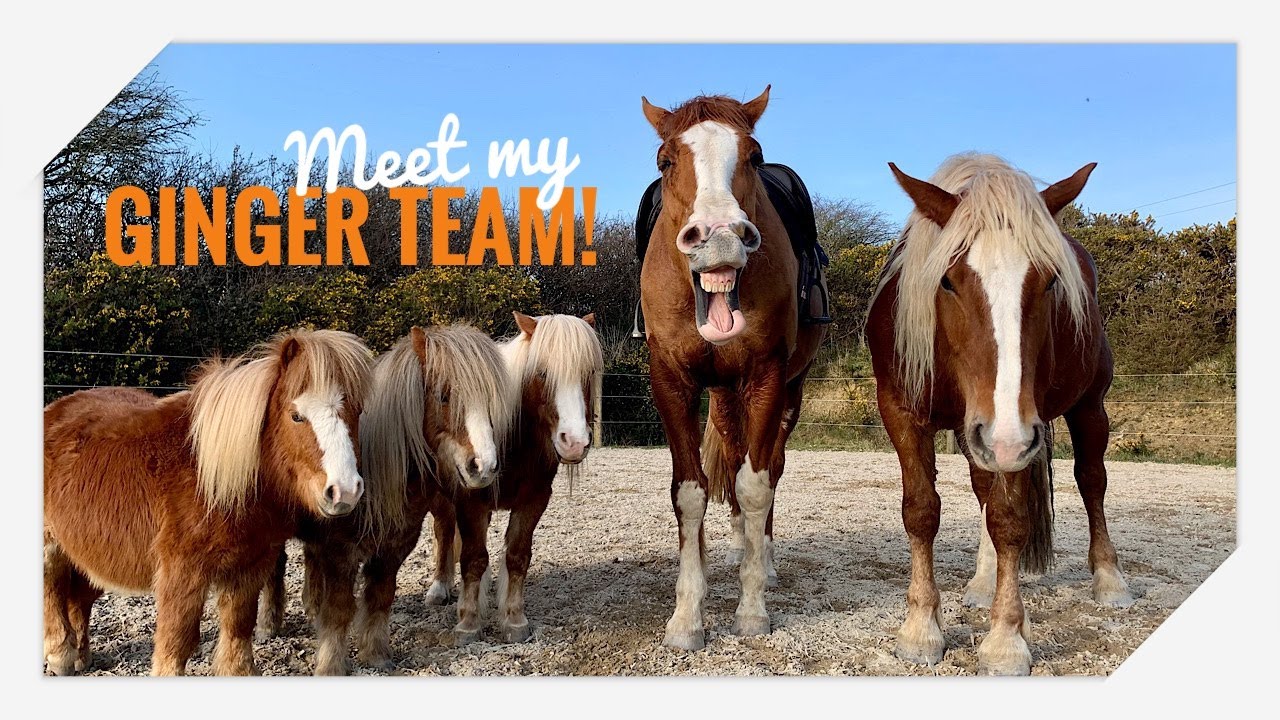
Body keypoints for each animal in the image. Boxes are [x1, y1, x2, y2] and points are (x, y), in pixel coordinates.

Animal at [43, 329, 372, 676]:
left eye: (356, 411)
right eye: (297, 416)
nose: (345, 491)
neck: (214, 479)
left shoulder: (249, 566)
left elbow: (238, 631)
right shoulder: (181, 573)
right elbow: (175, 645)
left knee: (79, 600)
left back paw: (81, 656)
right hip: (51, 546)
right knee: (52, 589)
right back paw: (60, 656)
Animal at [254, 323, 516, 674]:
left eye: (489, 400)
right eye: (443, 396)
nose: (484, 466)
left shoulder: (394, 546)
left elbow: (380, 597)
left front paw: (376, 654)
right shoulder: (340, 552)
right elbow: (339, 610)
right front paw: (331, 665)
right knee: (276, 565)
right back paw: (267, 625)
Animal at [421, 312, 603, 644]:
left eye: (587, 373)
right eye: (542, 373)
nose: (574, 443)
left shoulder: (533, 499)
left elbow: (517, 555)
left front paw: (514, 620)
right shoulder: (471, 501)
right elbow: (473, 559)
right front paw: (469, 624)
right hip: (440, 500)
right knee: (443, 532)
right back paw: (439, 588)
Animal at [638, 87, 826, 650]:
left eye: (754, 156)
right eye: (666, 160)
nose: (720, 236)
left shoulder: (767, 378)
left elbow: (756, 485)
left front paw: (752, 609)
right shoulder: (671, 382)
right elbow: (690, 493)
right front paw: (686, 617)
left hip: (788, 393)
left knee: (768, 468)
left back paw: (762, 557)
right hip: (723, 396)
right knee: (735, 449)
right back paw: (741, 544)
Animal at [867, 153, 1133, 675]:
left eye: (1050, 280)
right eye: (947, 280)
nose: (1006, 438)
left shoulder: (1017, 432)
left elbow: (1009, 520)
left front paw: (1006, 638)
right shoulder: (905, 413)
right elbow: (921, 511)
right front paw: (921, 628)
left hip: (1084, 408)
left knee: (1092, 481)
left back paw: (1109, 579)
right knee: (984, 489)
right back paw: (984, 580)